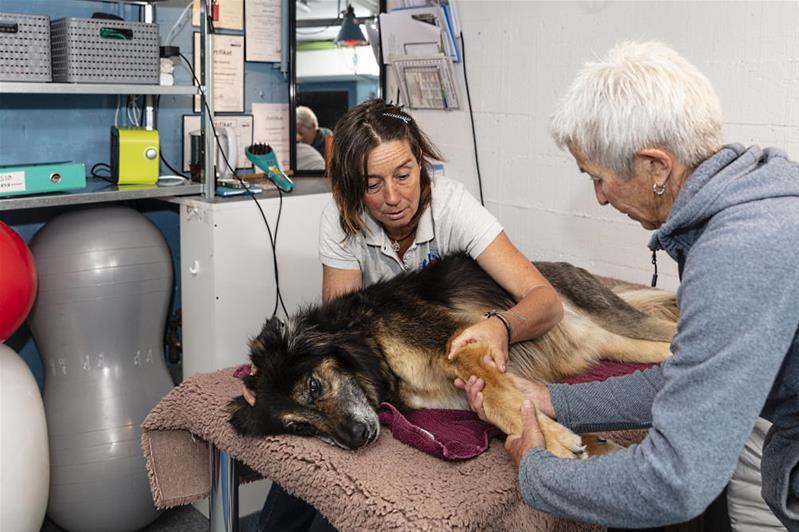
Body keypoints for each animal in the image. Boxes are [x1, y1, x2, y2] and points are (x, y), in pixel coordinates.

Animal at [228, 252, 680, 458]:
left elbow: (502, 402)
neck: (366, 338)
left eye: (314, 385)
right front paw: (572, 438)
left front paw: (556, 444)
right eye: (299, 428)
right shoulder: (459, 393)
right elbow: (509, 405)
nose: (356, 439)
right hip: (614, 343)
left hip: (617, 318)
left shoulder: (463, 340)